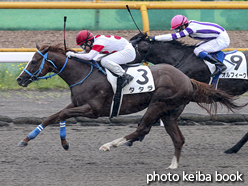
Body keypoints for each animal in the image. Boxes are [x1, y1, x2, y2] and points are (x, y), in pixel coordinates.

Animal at [16, 44, 243, 169]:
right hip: (170, 112)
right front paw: (27, 139)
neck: (83, 74)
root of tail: (187, 79)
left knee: (142, 128)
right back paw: (173, 166)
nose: (20, 79)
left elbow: (62, 114)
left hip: (158, 104)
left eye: (34, 61)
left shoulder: (93, 110)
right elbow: (53, 116)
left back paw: (109, 145)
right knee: (178, 138)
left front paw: (63, 142)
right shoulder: (77, 104)